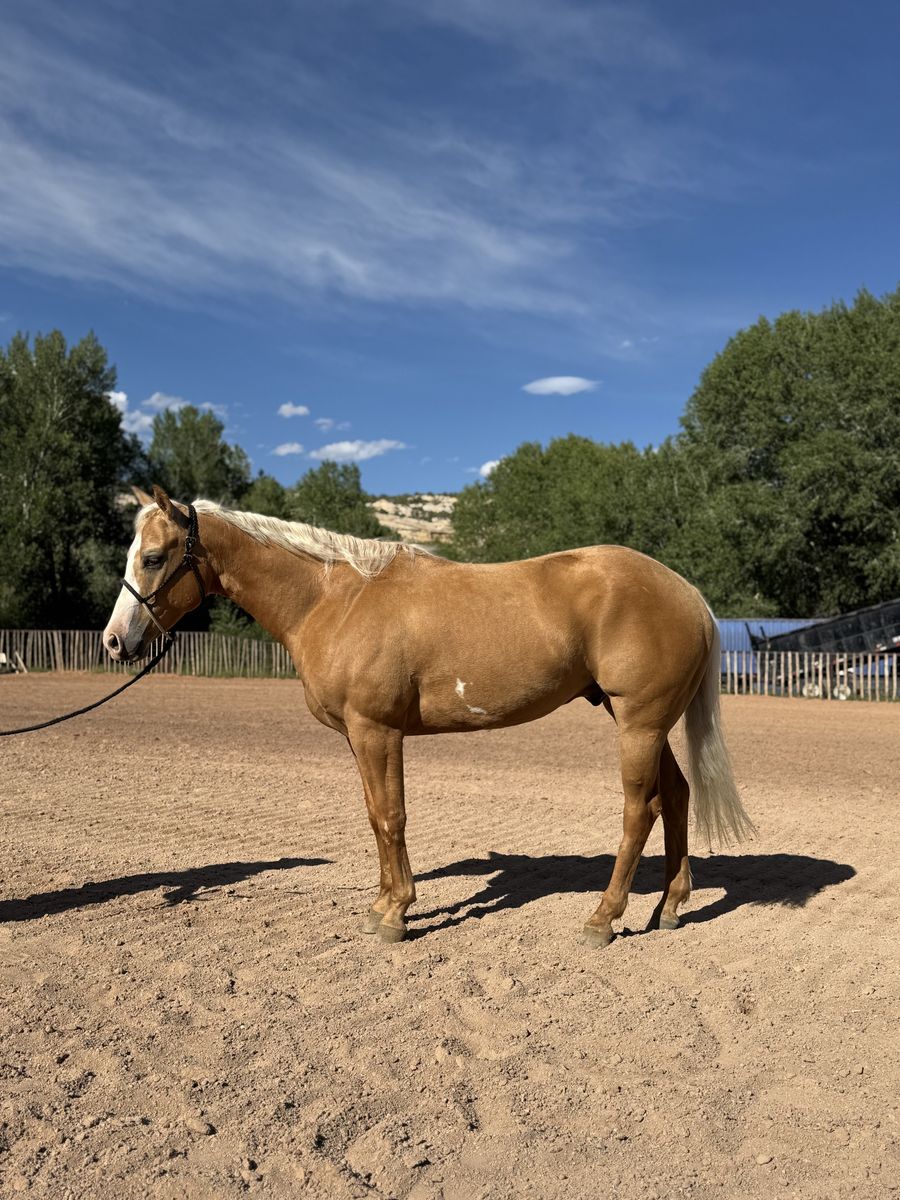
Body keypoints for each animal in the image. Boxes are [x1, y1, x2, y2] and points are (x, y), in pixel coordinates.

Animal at [103, 486, 753, 946]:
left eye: (154, 557)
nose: (114, 642)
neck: (337, 599)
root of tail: (688, 594)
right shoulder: (359, 737)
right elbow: (375, 816)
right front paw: (382, 905)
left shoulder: (377, 731)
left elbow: (391, 816)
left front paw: (395, 915)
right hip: (645, 724)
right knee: (678, 796)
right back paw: (668, 908)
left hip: (639, 725)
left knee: (640, 811)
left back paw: (601, 920)